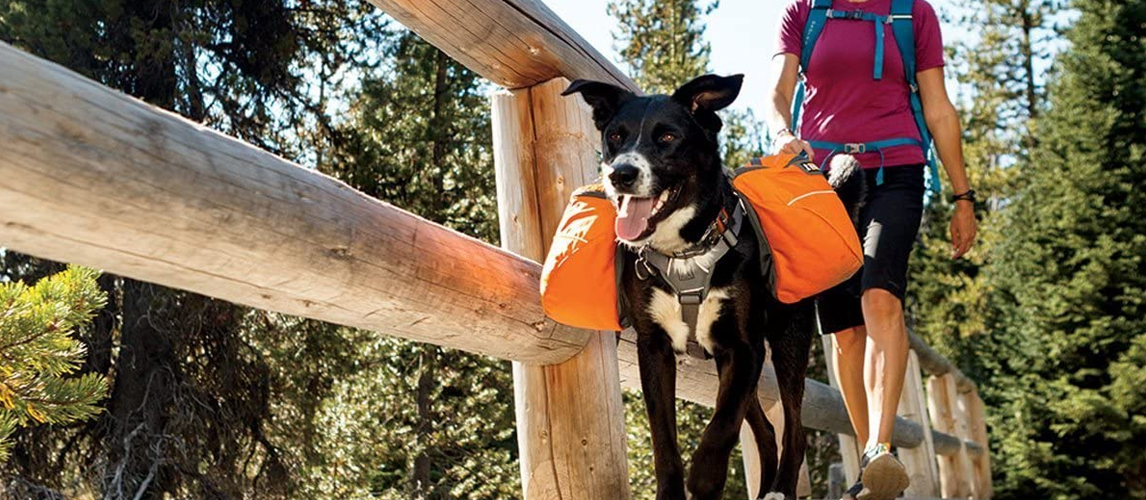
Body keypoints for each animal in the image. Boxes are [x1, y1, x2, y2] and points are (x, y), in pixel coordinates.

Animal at [561, 75, 843, 499]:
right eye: (615, 136)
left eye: (666, 137)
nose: (620, 174)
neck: (685, 254)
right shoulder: (655, 348)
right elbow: (665, 438)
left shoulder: (743, 347)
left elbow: (722, 426)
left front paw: (705, 480)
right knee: (765, 429)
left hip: (787, 337)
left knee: (793, 427)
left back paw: (780, 488)